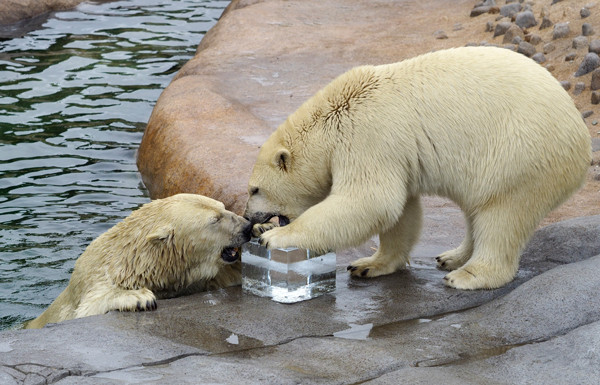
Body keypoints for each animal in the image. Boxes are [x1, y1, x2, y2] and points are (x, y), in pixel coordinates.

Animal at [244, 46, 592, 290]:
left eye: (255, 189)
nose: (249, 218)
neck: (334, 116)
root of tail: (581, 134)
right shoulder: (396, 152)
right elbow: (400, 212)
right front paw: (368, 264)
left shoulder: (366, 137)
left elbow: (371, 200)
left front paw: (274, 237)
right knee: (476, 208)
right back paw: (451, 257)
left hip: (519, 153)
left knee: (502, 214)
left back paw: (467, 275)